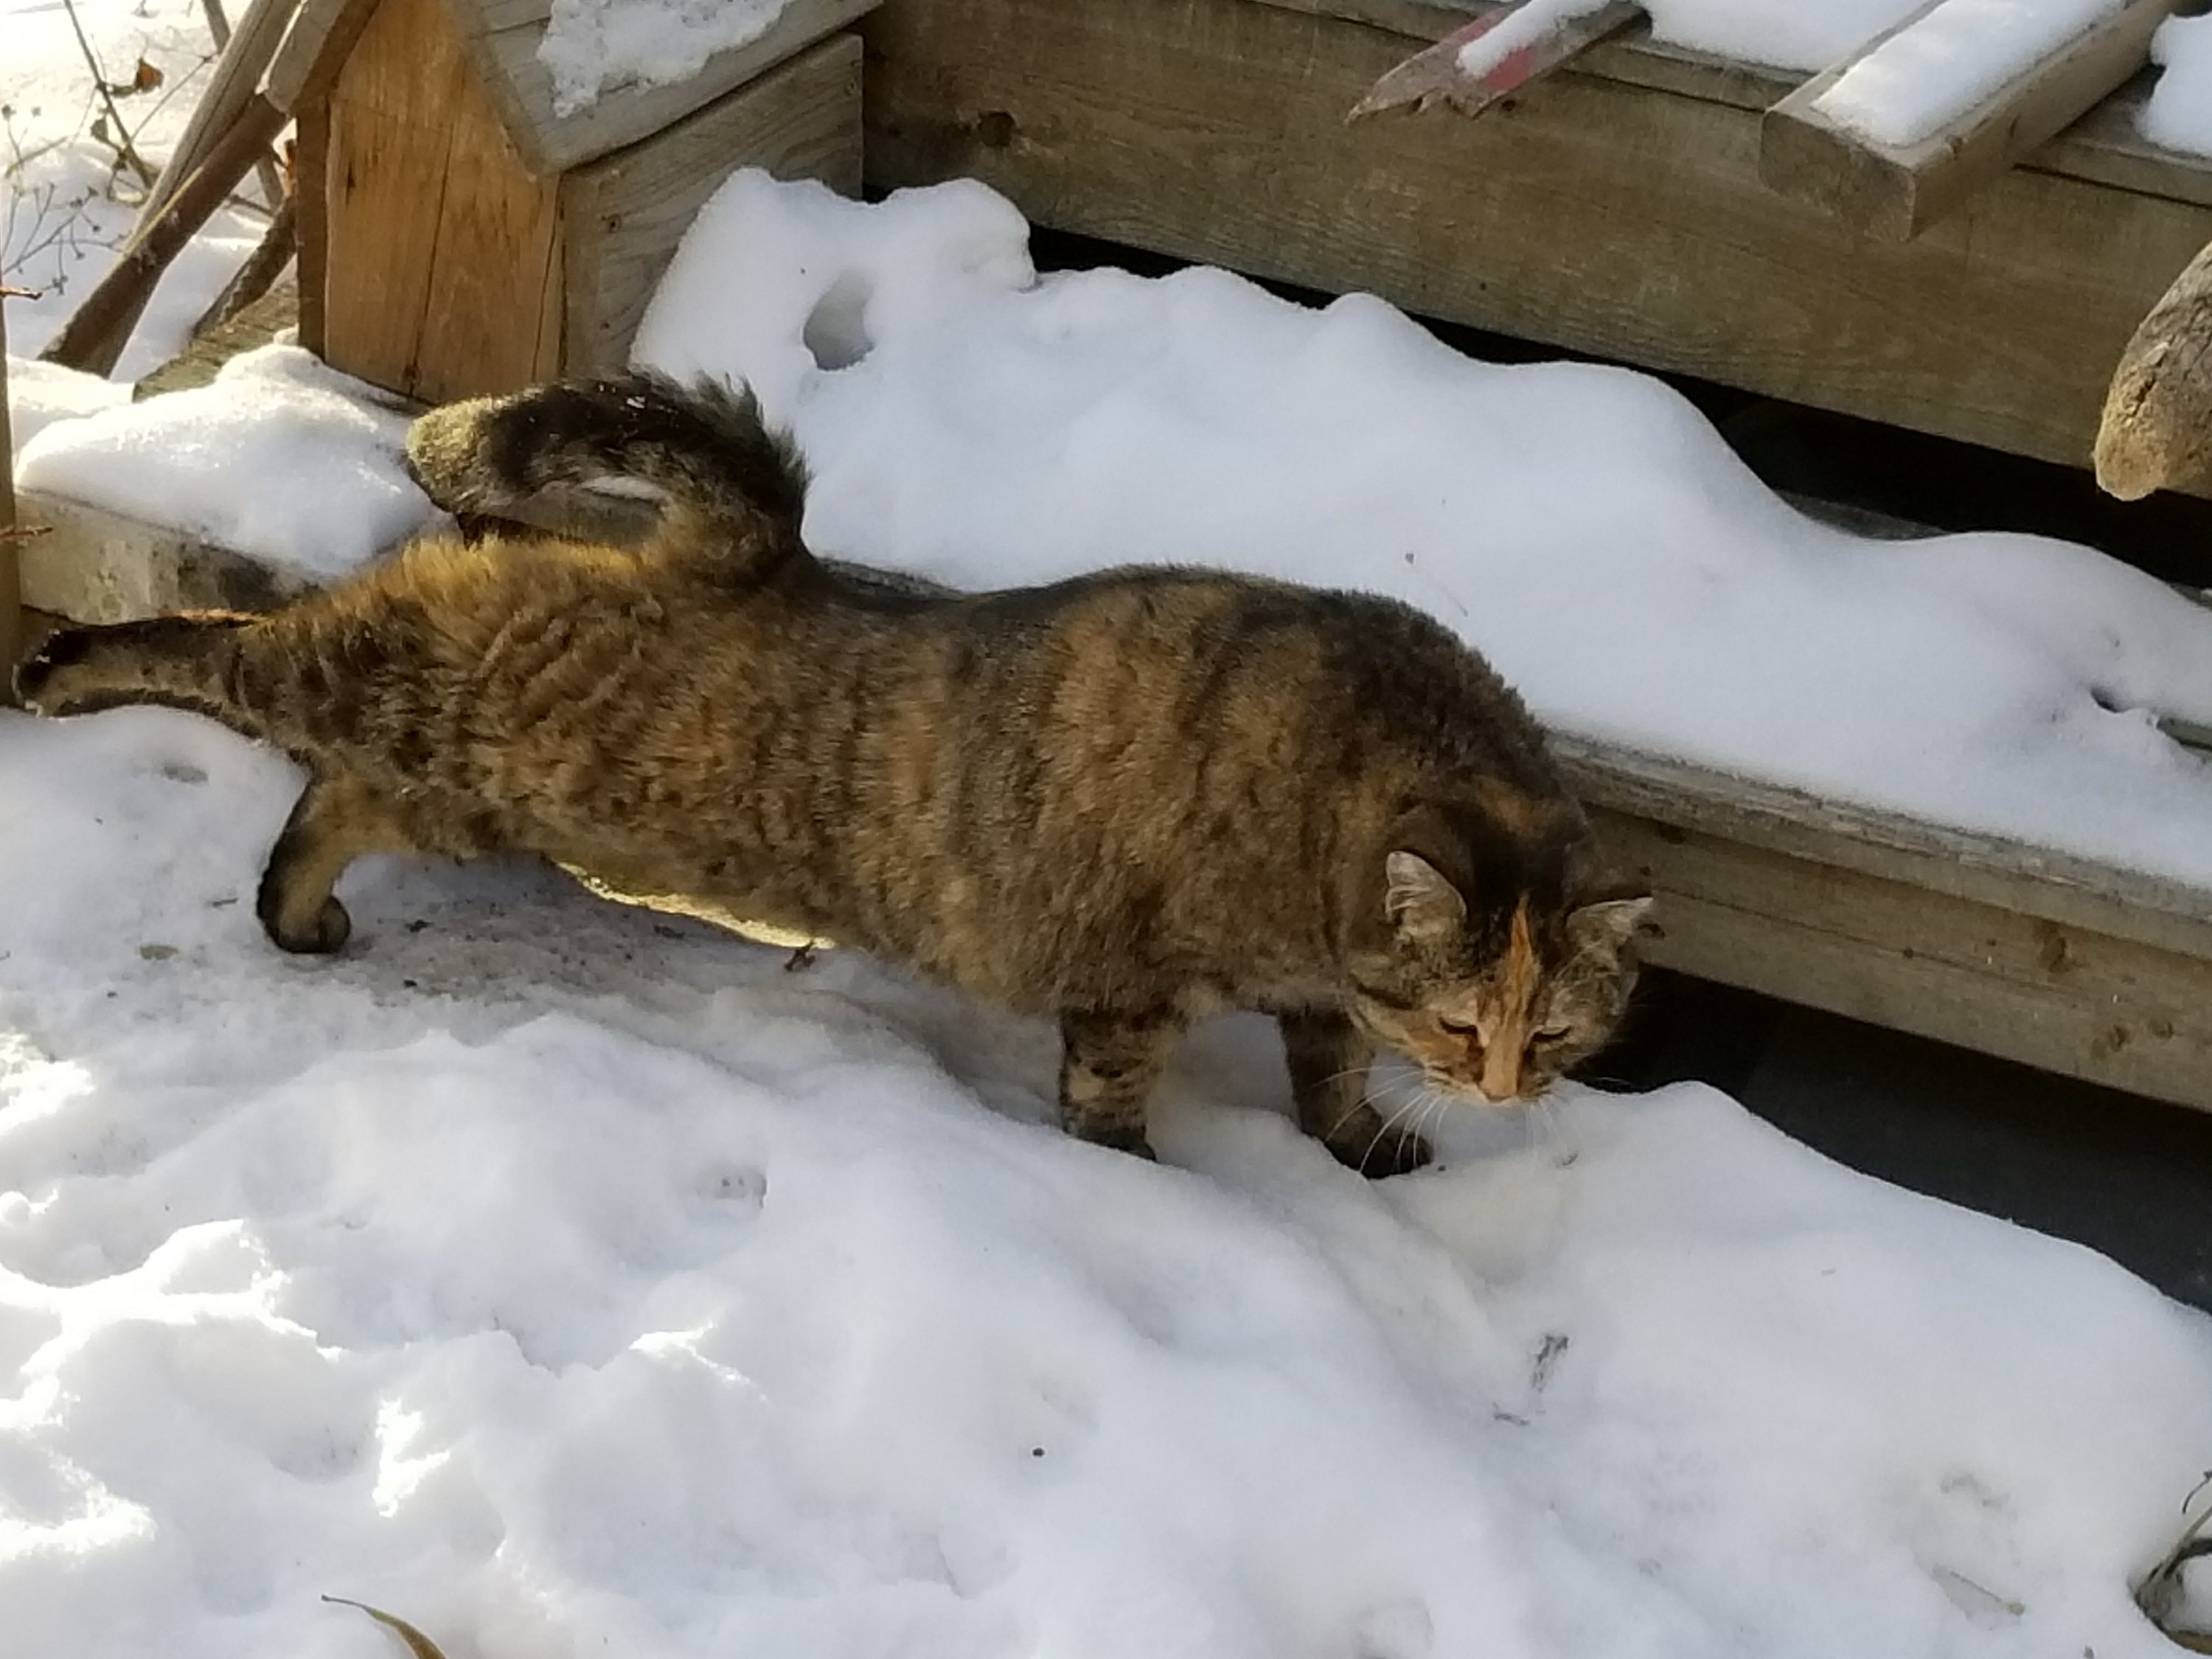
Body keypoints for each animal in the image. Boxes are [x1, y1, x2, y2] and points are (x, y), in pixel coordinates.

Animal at [15, 371, 1653, 1174]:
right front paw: (1143, 1186)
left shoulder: (1321, 990)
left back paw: (297, 913)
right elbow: (1116, 1103)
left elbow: (1330, 1075)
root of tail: (742, 544)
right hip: (394, 690)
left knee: (332, 796)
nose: (1506, 1092)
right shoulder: (1130, 991)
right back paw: (62, 675)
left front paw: (1363, 1141)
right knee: (220, 646)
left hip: (470, 787)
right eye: (1469, 1022)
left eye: (1558, 1035)